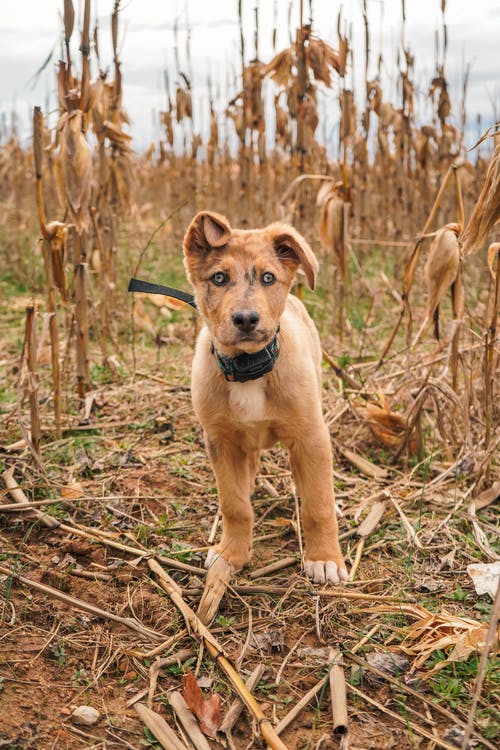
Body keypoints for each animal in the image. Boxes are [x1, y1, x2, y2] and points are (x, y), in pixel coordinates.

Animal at [184, 210, 348, 588]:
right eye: (218, 278)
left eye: (268, 277)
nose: (246, 319)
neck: (249, 369)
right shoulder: (221, 440)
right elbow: (234, 504)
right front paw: (231, 552)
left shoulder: (310, 437)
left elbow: (317, 504)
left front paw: (324, 558)